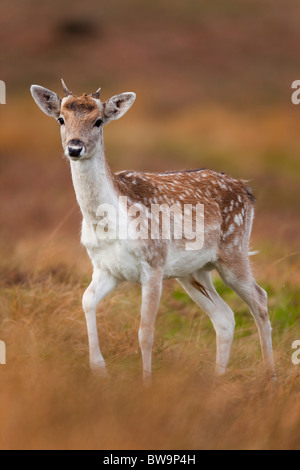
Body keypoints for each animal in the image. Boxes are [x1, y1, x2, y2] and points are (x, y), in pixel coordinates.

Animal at [31, 81, 276, 382]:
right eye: (61, 119)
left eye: (98, 121)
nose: (75, 147)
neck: (109, 225)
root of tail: (247, 189)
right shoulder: (105, 268)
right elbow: (87, 300)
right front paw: (99, 369)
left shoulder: (154, 262)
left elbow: (146, 332)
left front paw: (146, 382)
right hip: (193, 271)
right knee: (225, 316)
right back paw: (217, 381)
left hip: (234, 251)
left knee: (260, 299)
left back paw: (270, 376)